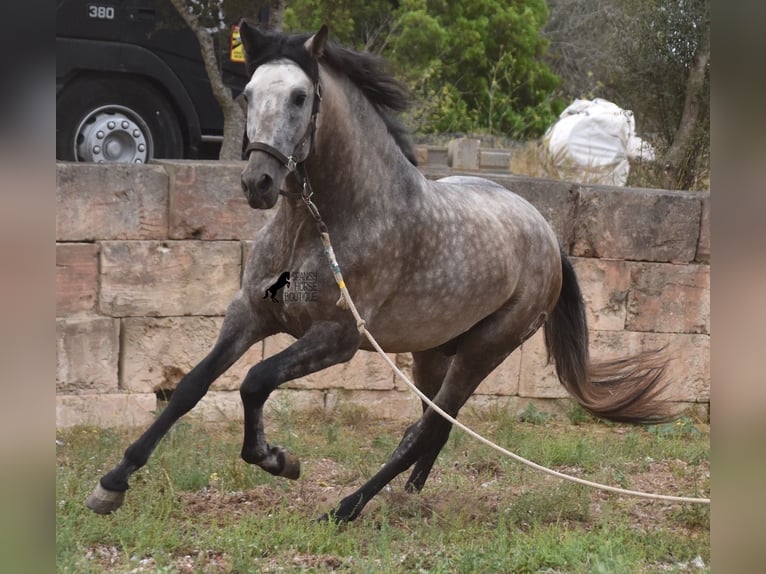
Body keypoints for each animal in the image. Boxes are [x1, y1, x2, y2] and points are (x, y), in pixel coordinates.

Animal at [87, 21, 672, 528]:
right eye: (248, 94)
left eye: (300, 97)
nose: (258, 183)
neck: (321, 223)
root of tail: (548, 236)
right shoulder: (250, 314)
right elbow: (190, 387)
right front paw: (112, 484)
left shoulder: (337, 338)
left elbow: (254, 382)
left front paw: (279, 460)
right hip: (431, 353)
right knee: (431, 428)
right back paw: (406, 495)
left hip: (484, 351)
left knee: (428, 427)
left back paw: (347, 508)